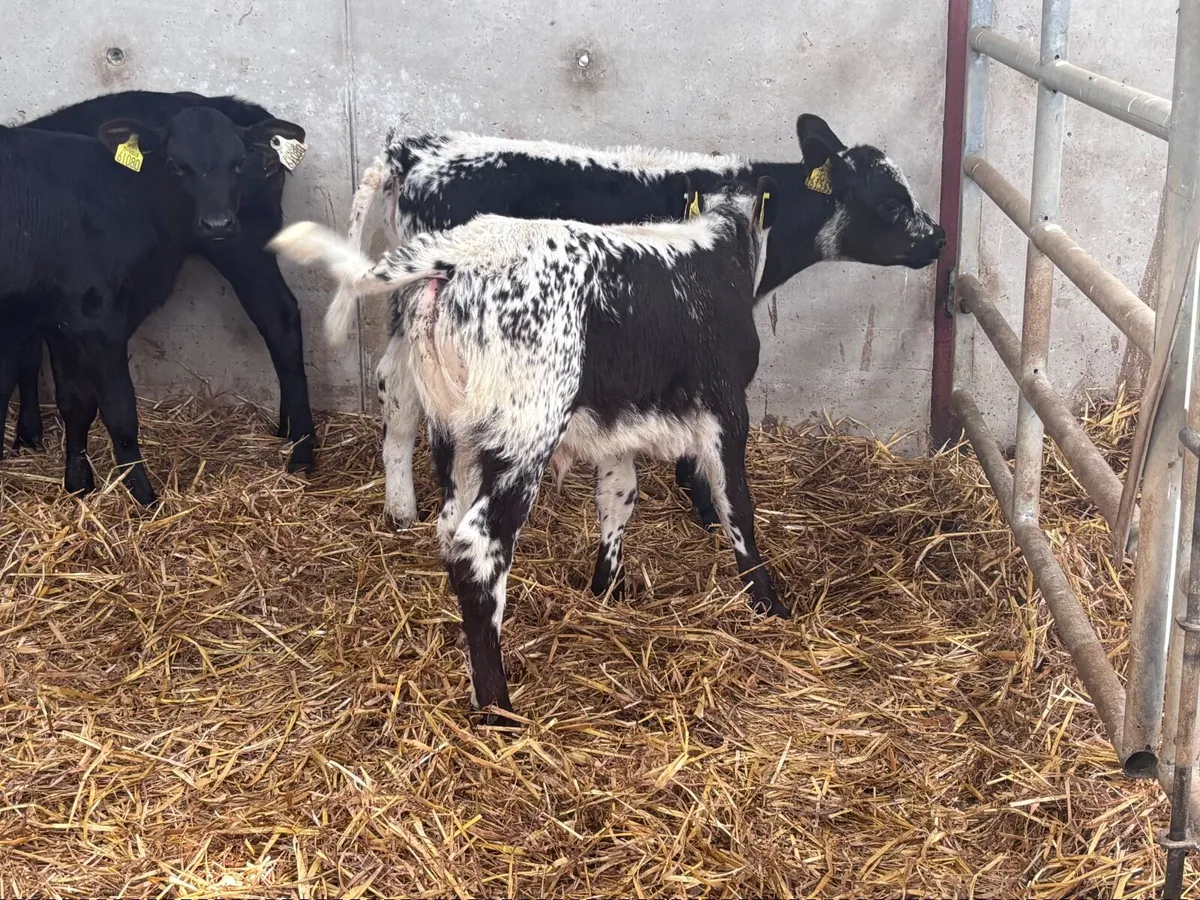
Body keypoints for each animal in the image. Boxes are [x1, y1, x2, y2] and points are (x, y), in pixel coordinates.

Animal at [0, 93, 308, 505]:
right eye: (175, 164)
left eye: (238, 162)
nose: (217, 222)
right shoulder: (64, 318)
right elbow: (70, 397)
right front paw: (76, 481)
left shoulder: (94, 320)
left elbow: (115, 409)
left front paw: (141, 495)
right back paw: (289, 433)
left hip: (244, 248)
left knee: (279, 320)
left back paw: (303, 449)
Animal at [271, 175, 781, 724]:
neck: (717, 252)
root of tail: (461, 250)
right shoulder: (727, 408)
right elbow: (736, 505)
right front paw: (767, 602)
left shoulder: (616, 427)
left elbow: (618, 497)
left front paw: (607, 586)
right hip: (525, 436)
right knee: (478, 549)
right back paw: (497, 706)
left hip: (459, 434)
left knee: (449, 526)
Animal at [335, 114, 946, 532]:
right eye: (891, 203)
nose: (939, 239)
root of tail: (414, 150)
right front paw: (707, 503)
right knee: (401, 389)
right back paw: (404, 508)